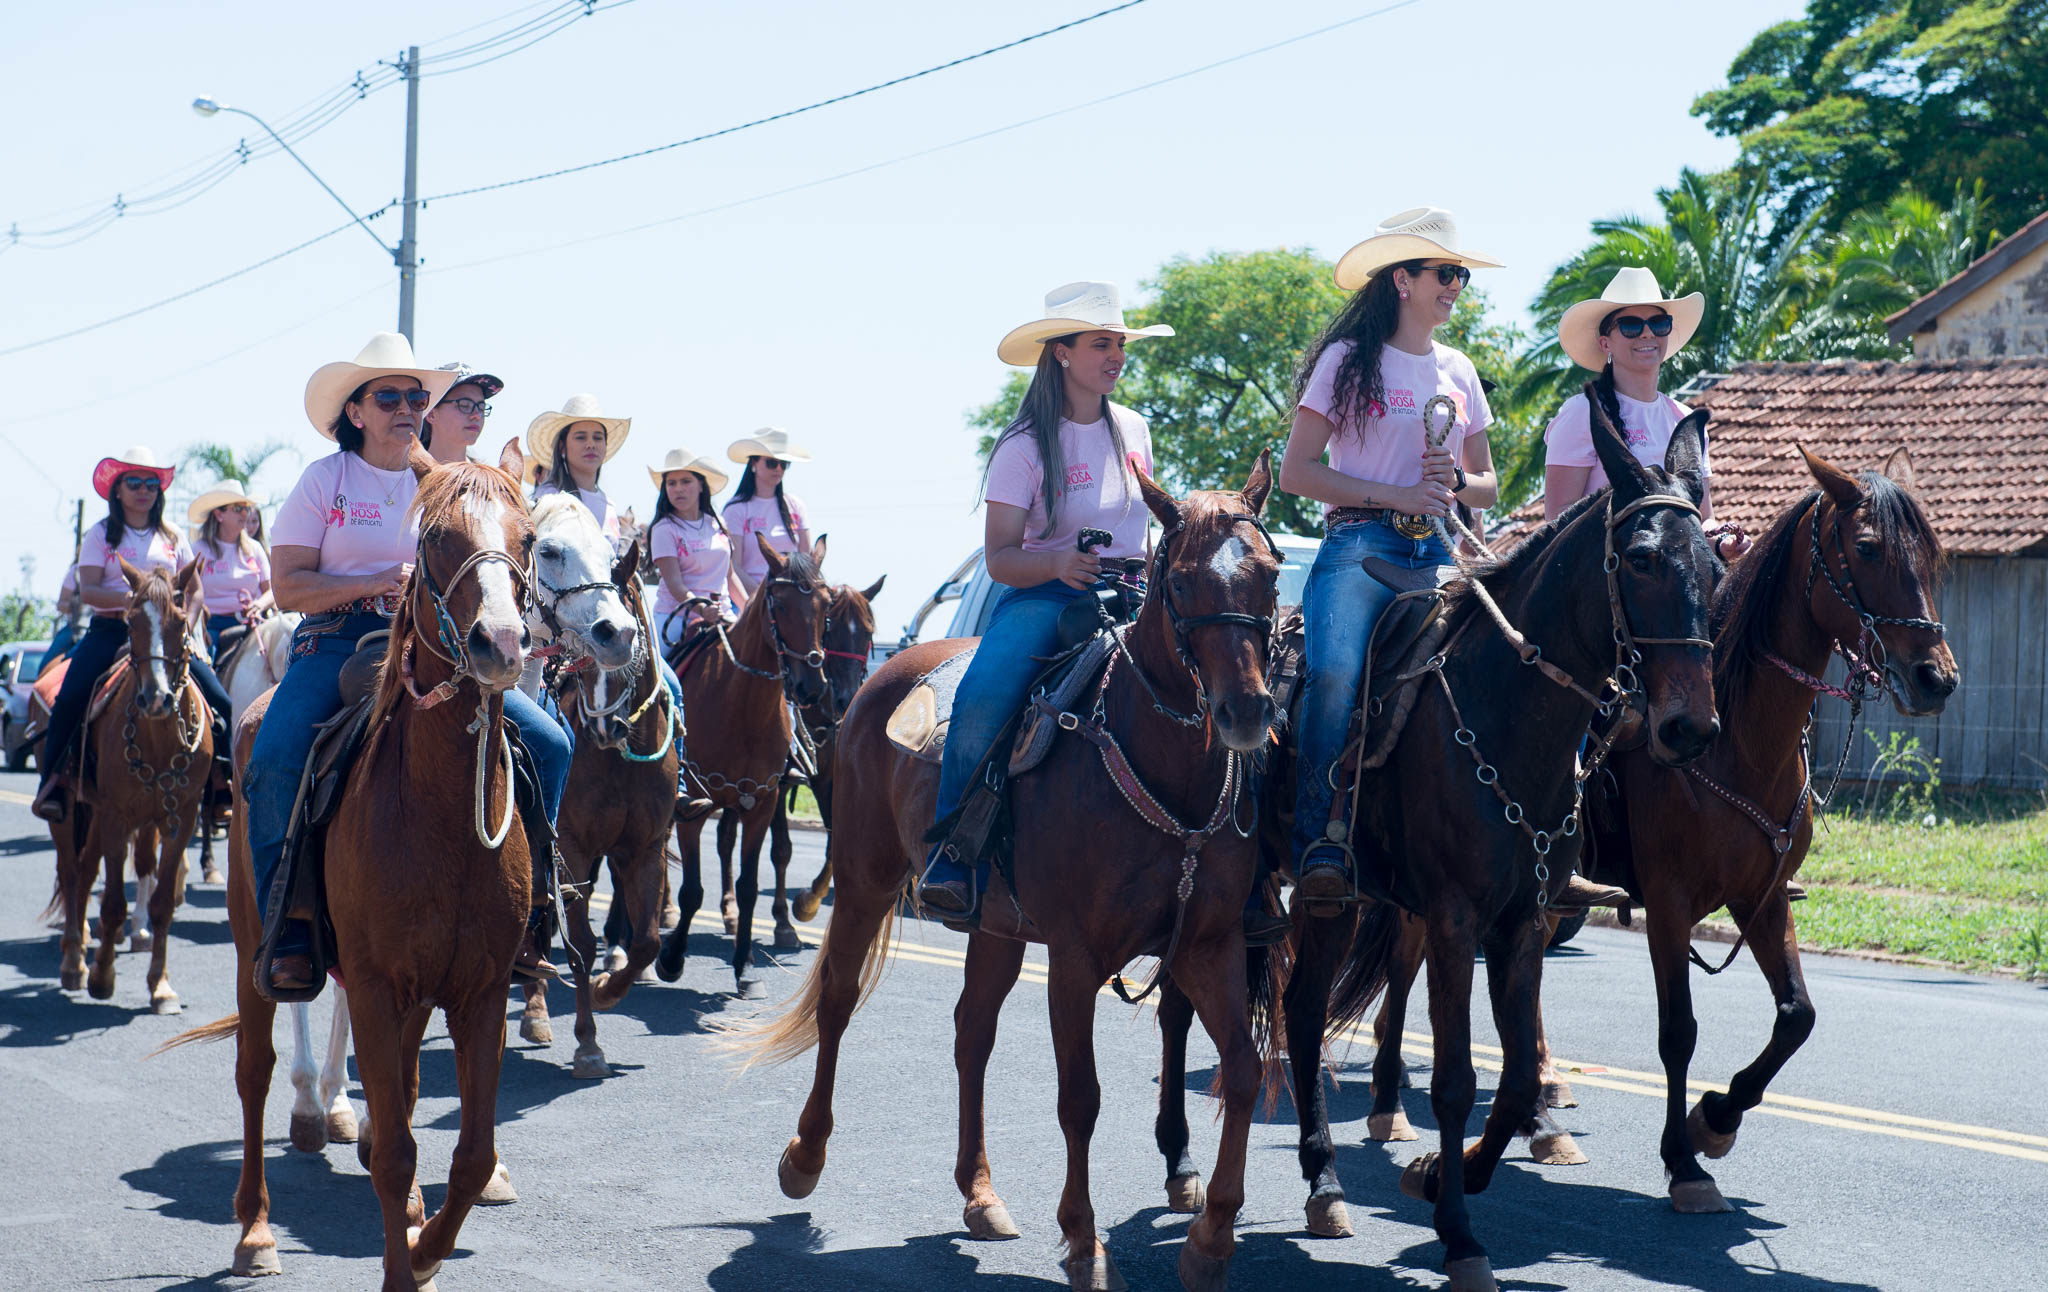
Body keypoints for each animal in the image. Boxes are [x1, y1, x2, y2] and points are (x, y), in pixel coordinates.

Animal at [49, 561, 209, 1015]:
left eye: (179, 620)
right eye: (130, 621)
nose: (155, 698)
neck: (158, 738)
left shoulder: (181, 817)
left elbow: (161, 904)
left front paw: (161, 987)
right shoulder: (118, 815)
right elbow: (114, 904)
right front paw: (102, 977)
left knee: (86, 870)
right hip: (71, 809)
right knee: (72, 872)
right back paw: (73, 963)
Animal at [162, 440, 536, 1285]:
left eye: (530, 539)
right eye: (435, 539)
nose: (501, 644)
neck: (438, 811)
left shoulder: (480, 991)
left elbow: (469, 1155)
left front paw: (426, 1250)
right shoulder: (371, 983)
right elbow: (395, 1152)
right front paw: (403, 1268)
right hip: (257, 947)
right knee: (255, 1068)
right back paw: (256, 1230)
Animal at [647, 536, 823, 999]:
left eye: (825, 605)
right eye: (780, 604)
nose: (811, 687)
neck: (742, 704)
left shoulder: (761, 802)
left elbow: (747, 887)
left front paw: (745, 967)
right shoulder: (695, 804)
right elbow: (691, 891)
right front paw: (671, 959)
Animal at [737, 454, 1277, 1292]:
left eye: (1272, 574)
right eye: (1183, 582)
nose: (1246, 710)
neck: (1164, 773)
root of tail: (885, 674)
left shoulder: (1207, 946)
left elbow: (1245, 1073)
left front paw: (1212, 1237)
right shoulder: (1077, 959)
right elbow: (1080, 1098)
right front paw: (1085, 1243)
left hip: (995, 924)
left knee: (972, 1033)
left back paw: (980, 1193)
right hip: (863, 881)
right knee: (837, 1003)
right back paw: (805, 1155)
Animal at [1581, 444, 1949, 1212]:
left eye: (1933, 554)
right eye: (1866, 548)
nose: (1937, 679)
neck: (1736, 742)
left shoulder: (1765, 895)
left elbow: (1797, 1015)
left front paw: (1715, 1120)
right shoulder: (1668, 905)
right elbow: (1678, 1031)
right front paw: (1683, 1160)